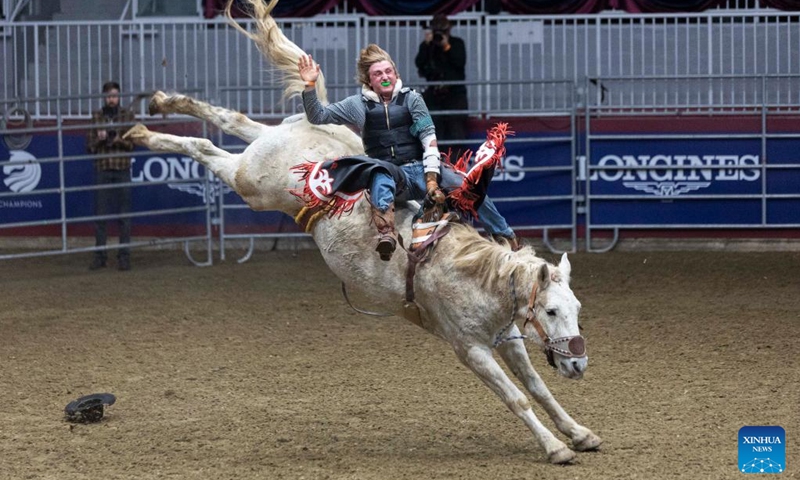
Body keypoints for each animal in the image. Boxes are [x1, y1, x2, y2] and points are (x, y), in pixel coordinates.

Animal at [123, 0, 600, 464]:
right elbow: (517, 398)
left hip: (270, 143)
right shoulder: (470, 348)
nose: (578, 364)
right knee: (205, 147)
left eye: (577, 307)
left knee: (234, 119)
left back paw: (163, 102)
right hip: (250, 183)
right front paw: (555, 448)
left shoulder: (508, 337)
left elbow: (538, 387)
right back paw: (144, 130)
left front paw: (579, 433)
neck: (472, 275)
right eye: (551, 311)